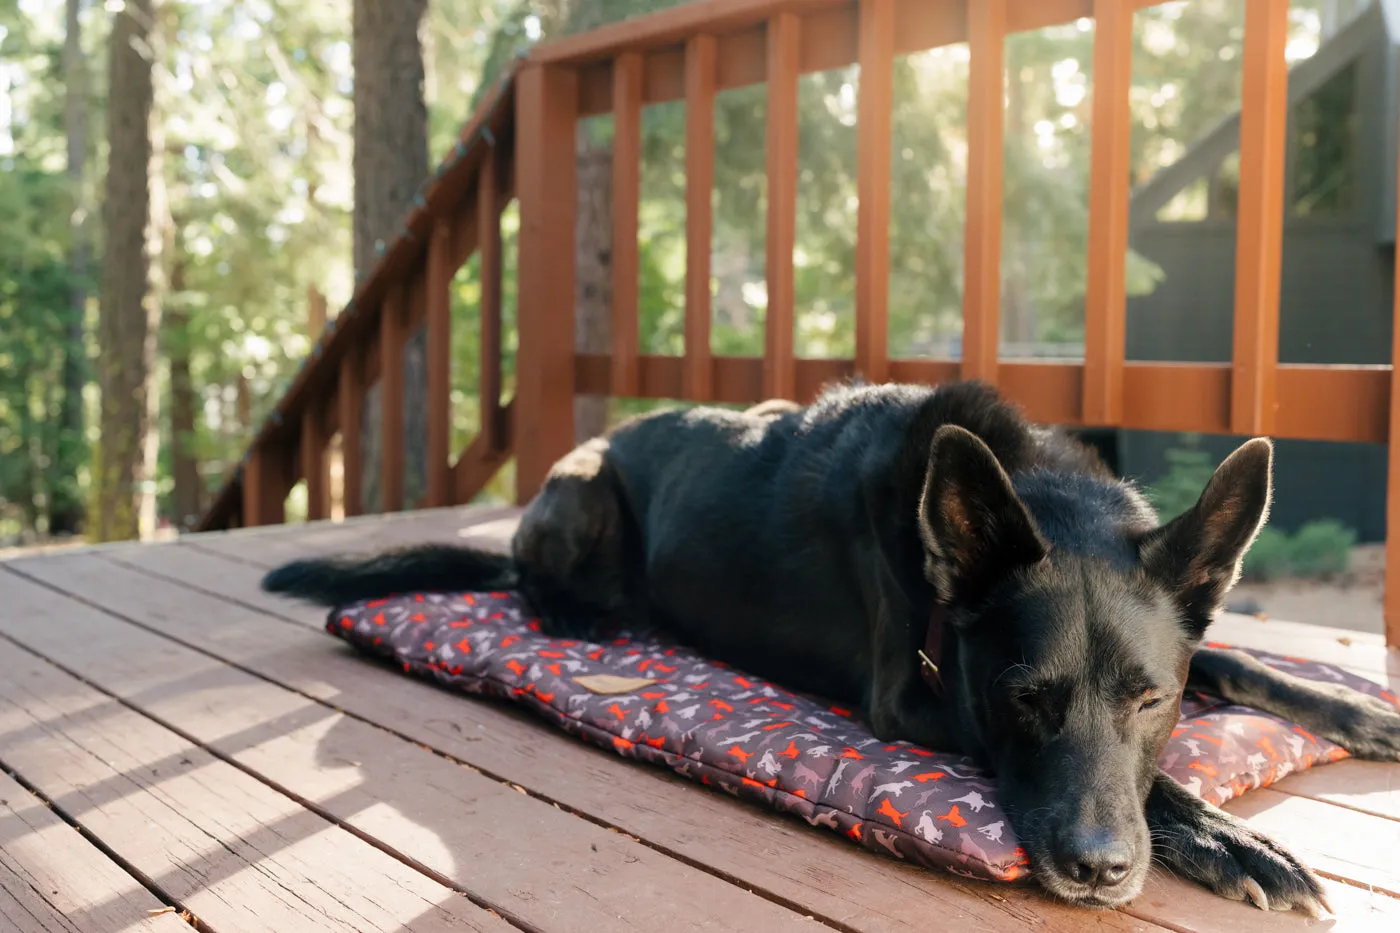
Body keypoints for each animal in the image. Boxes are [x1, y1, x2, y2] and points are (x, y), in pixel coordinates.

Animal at [264, 381, 1400, 913]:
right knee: (533, 583)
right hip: (582, 491)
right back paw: (585, 618)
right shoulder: (919, 695)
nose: (1096, 870)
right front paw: (1230, 838)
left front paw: (1358, 708)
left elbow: (1239, 662)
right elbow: (1155, 782)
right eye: (1021, 697)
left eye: (1150, 699)